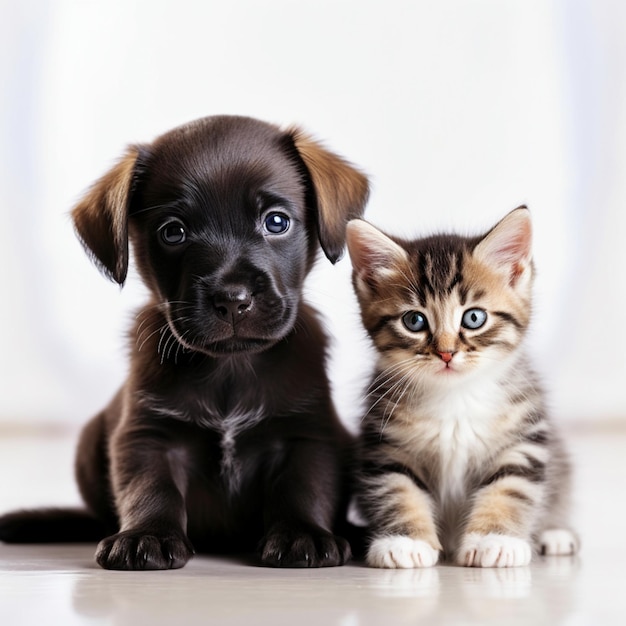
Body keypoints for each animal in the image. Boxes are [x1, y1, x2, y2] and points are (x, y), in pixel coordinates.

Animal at [0, 114, 368, 568]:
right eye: (173, 232)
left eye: (276, 222)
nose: (233, 299)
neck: (230, 368)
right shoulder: (147, 436)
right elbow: (150, 489)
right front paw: (146, 535)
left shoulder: (306, 435)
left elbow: (304, 487)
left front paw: (304, 533)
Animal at [344, 206, 576, 564]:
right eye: (414, 321)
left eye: (474, 318)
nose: (446, 352)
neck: (455, 396)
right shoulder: (385, 442)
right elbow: (397, 489)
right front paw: (405, 542)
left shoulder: (524, 437)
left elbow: (509, 488)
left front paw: (495, 540)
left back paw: (556, 534)